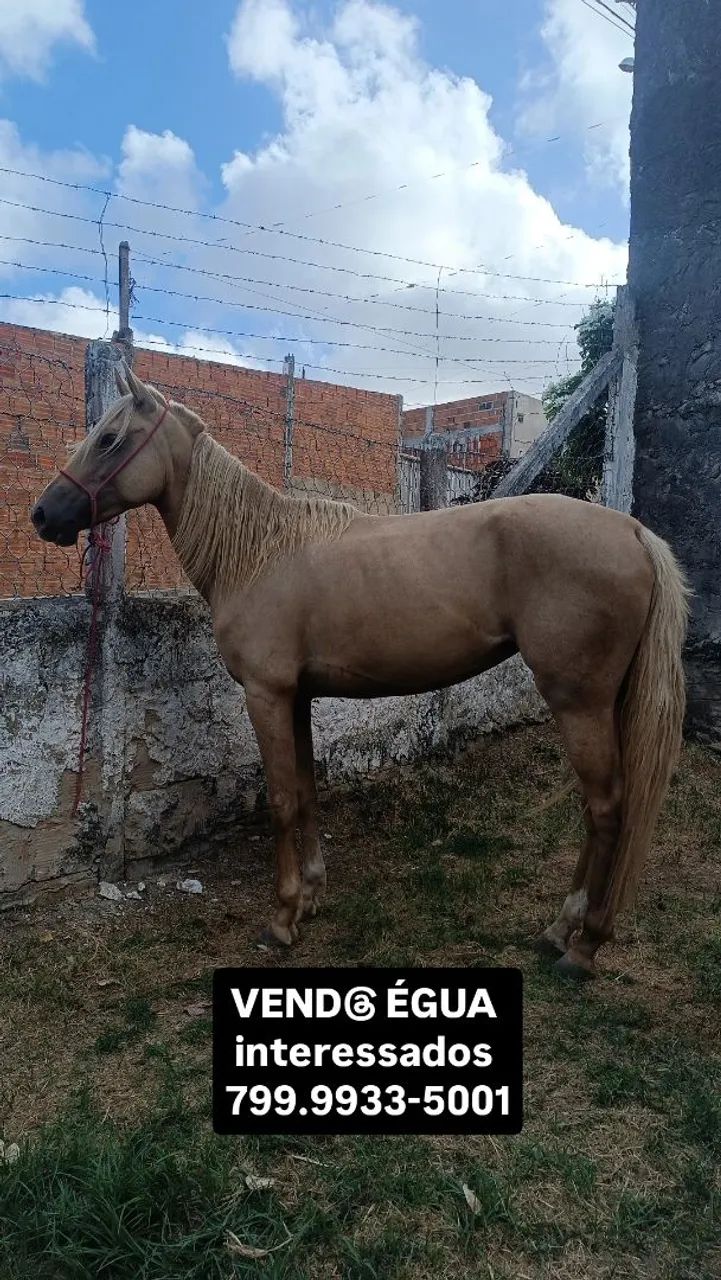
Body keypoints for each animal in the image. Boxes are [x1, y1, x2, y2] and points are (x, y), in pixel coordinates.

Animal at [31, 367, 689, 978]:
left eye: (109, 439)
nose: (42, 515)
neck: (259, 553)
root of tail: (633, 532)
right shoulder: (296, 697)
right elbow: (306, 790)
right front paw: (311, 897)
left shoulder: (267, 696)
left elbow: (280, 800)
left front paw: (281, 918)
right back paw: (560, 928)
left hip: (579, 702)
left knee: (605, 807)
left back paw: (583, 945)